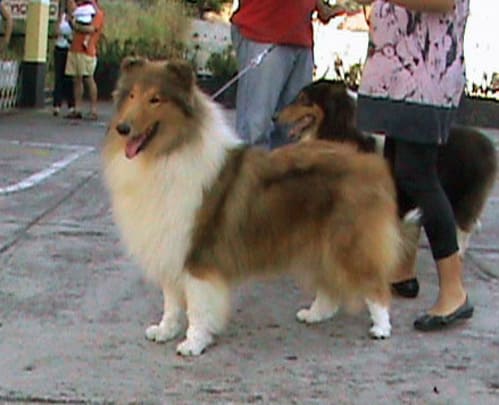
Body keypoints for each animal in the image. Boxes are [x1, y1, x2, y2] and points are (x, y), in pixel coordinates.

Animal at [102, 58, 414, 356]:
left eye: (155, 99)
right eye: (131, 95)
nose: (123, 128)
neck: (166, 154)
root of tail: (367, 161)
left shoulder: (197, 253)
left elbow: (198, 307)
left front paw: (193, 343)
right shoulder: (169, 246)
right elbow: (171, 301)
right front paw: (165, 330)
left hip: (348, 242)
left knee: (375, 286)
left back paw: (381, 328)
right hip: (319, 242)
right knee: (330, 286)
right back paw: (315, 314)